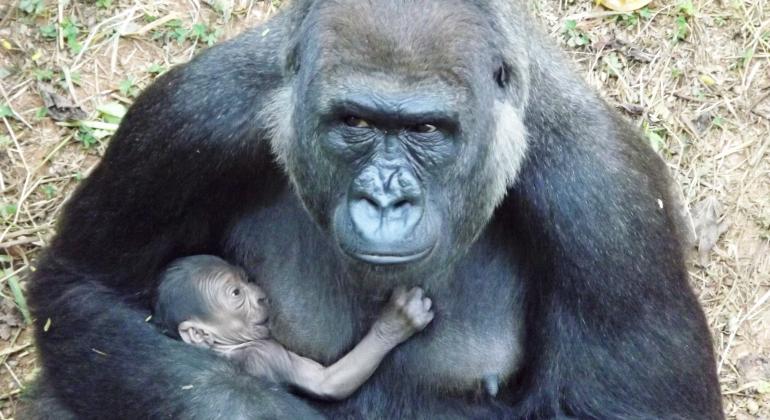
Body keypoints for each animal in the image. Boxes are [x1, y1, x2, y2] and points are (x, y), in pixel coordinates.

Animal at [153, 256, 436, 400]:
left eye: (246, 280)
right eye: (236, 293)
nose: (261, 296)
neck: (227, 347)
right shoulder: (267, 352)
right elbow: (326, 381)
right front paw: (394, 323)